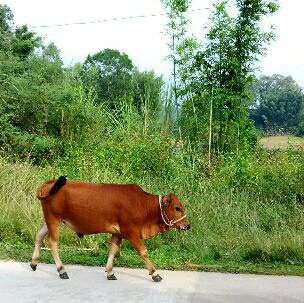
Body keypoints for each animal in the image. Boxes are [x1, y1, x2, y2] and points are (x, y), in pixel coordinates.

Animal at [29, 176, 189, 282]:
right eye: (178, 208)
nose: (187, 225)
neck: (143, 205)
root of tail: (49, 183)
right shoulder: (131, 232)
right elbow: (143, 252)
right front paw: (155, 273)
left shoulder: (117, 233)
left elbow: (113, 250)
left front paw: (110, 272)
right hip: (54, 220)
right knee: (52, 242)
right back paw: (61, 270)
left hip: (49, 220)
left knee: (39, 235)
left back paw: (34, 263)